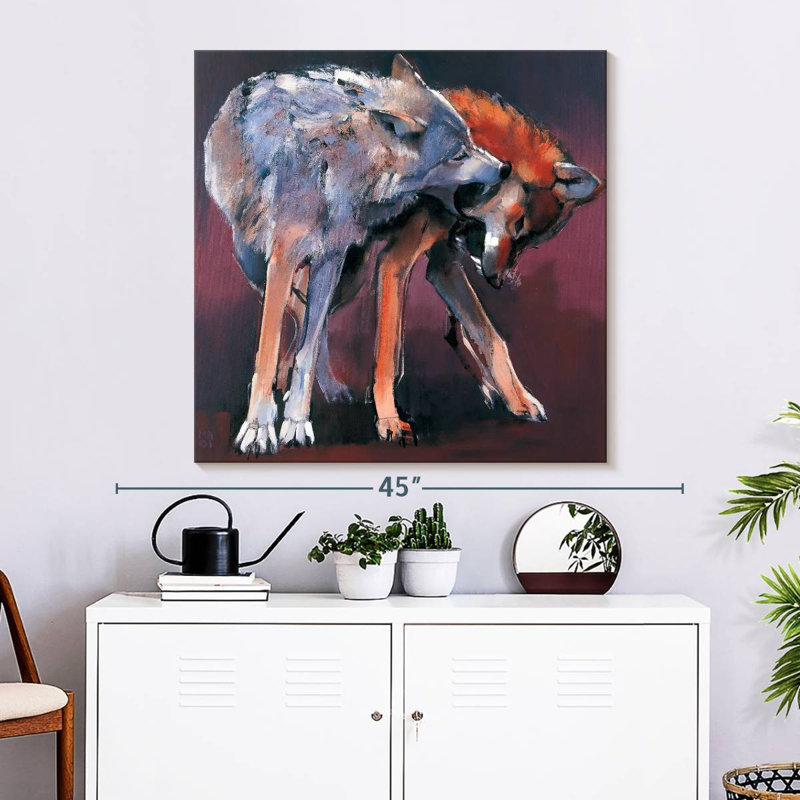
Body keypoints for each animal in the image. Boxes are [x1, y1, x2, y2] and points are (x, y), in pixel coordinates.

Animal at [205, 55, 506, 454]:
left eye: (471, 140)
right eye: (457, 154)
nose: (505, 168)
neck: (339, 163)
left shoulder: (330, 258)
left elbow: (308, 350)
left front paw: (296, 423)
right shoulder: (282, 261)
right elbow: (267, 351)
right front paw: (258, 428)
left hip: (351, 275)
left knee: (311, 325)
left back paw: (327, 389)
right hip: (256, 261)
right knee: (292, 315)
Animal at [291, 86, 604, 443]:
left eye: (528, 243)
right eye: (519, 226)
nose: (496, 281)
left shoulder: (443, 268)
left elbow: (491, 339)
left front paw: (518, 399)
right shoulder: (394, 263)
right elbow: (387, 354)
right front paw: (388, 418)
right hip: (349, 277)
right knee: (304, 319)